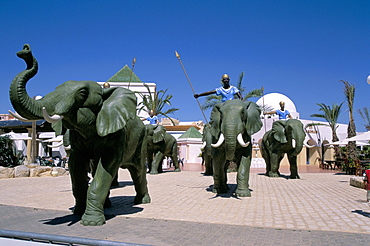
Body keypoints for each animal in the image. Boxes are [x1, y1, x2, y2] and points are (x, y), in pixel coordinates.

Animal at [9, 43, 150, 225]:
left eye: (82, 93)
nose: (25, 51)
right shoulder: (77, 141)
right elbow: (75, 166)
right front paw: (77, 213)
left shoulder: (117, 135)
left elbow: (107, 166)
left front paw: (91, 222)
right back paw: (108, 205)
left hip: (142, 140)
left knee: (138, 170)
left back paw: (142, 201)